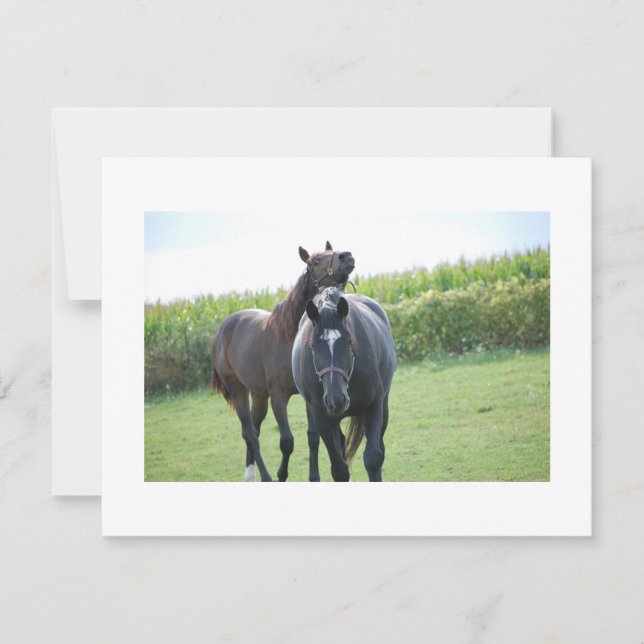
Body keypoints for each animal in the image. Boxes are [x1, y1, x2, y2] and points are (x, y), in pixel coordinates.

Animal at [211, 242, 355, 482]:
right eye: (315, 261)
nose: (347, 257)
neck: (289, 337)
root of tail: (222, 330)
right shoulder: (278, 396)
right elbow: (287, 442)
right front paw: (281, 475)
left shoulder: (310, 397)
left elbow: (313, 436)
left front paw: (314, 477)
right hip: (238, 390)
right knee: (249, 433)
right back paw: (265, 476)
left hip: (258, 395)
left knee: (254, 429)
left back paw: (251, 474)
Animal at [292, 287, 396, 482]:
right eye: (313, 346)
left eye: (348, 342)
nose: (336, 400)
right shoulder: (323, 417)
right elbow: (339, 469)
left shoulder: (374, 406)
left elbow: (373, 459)